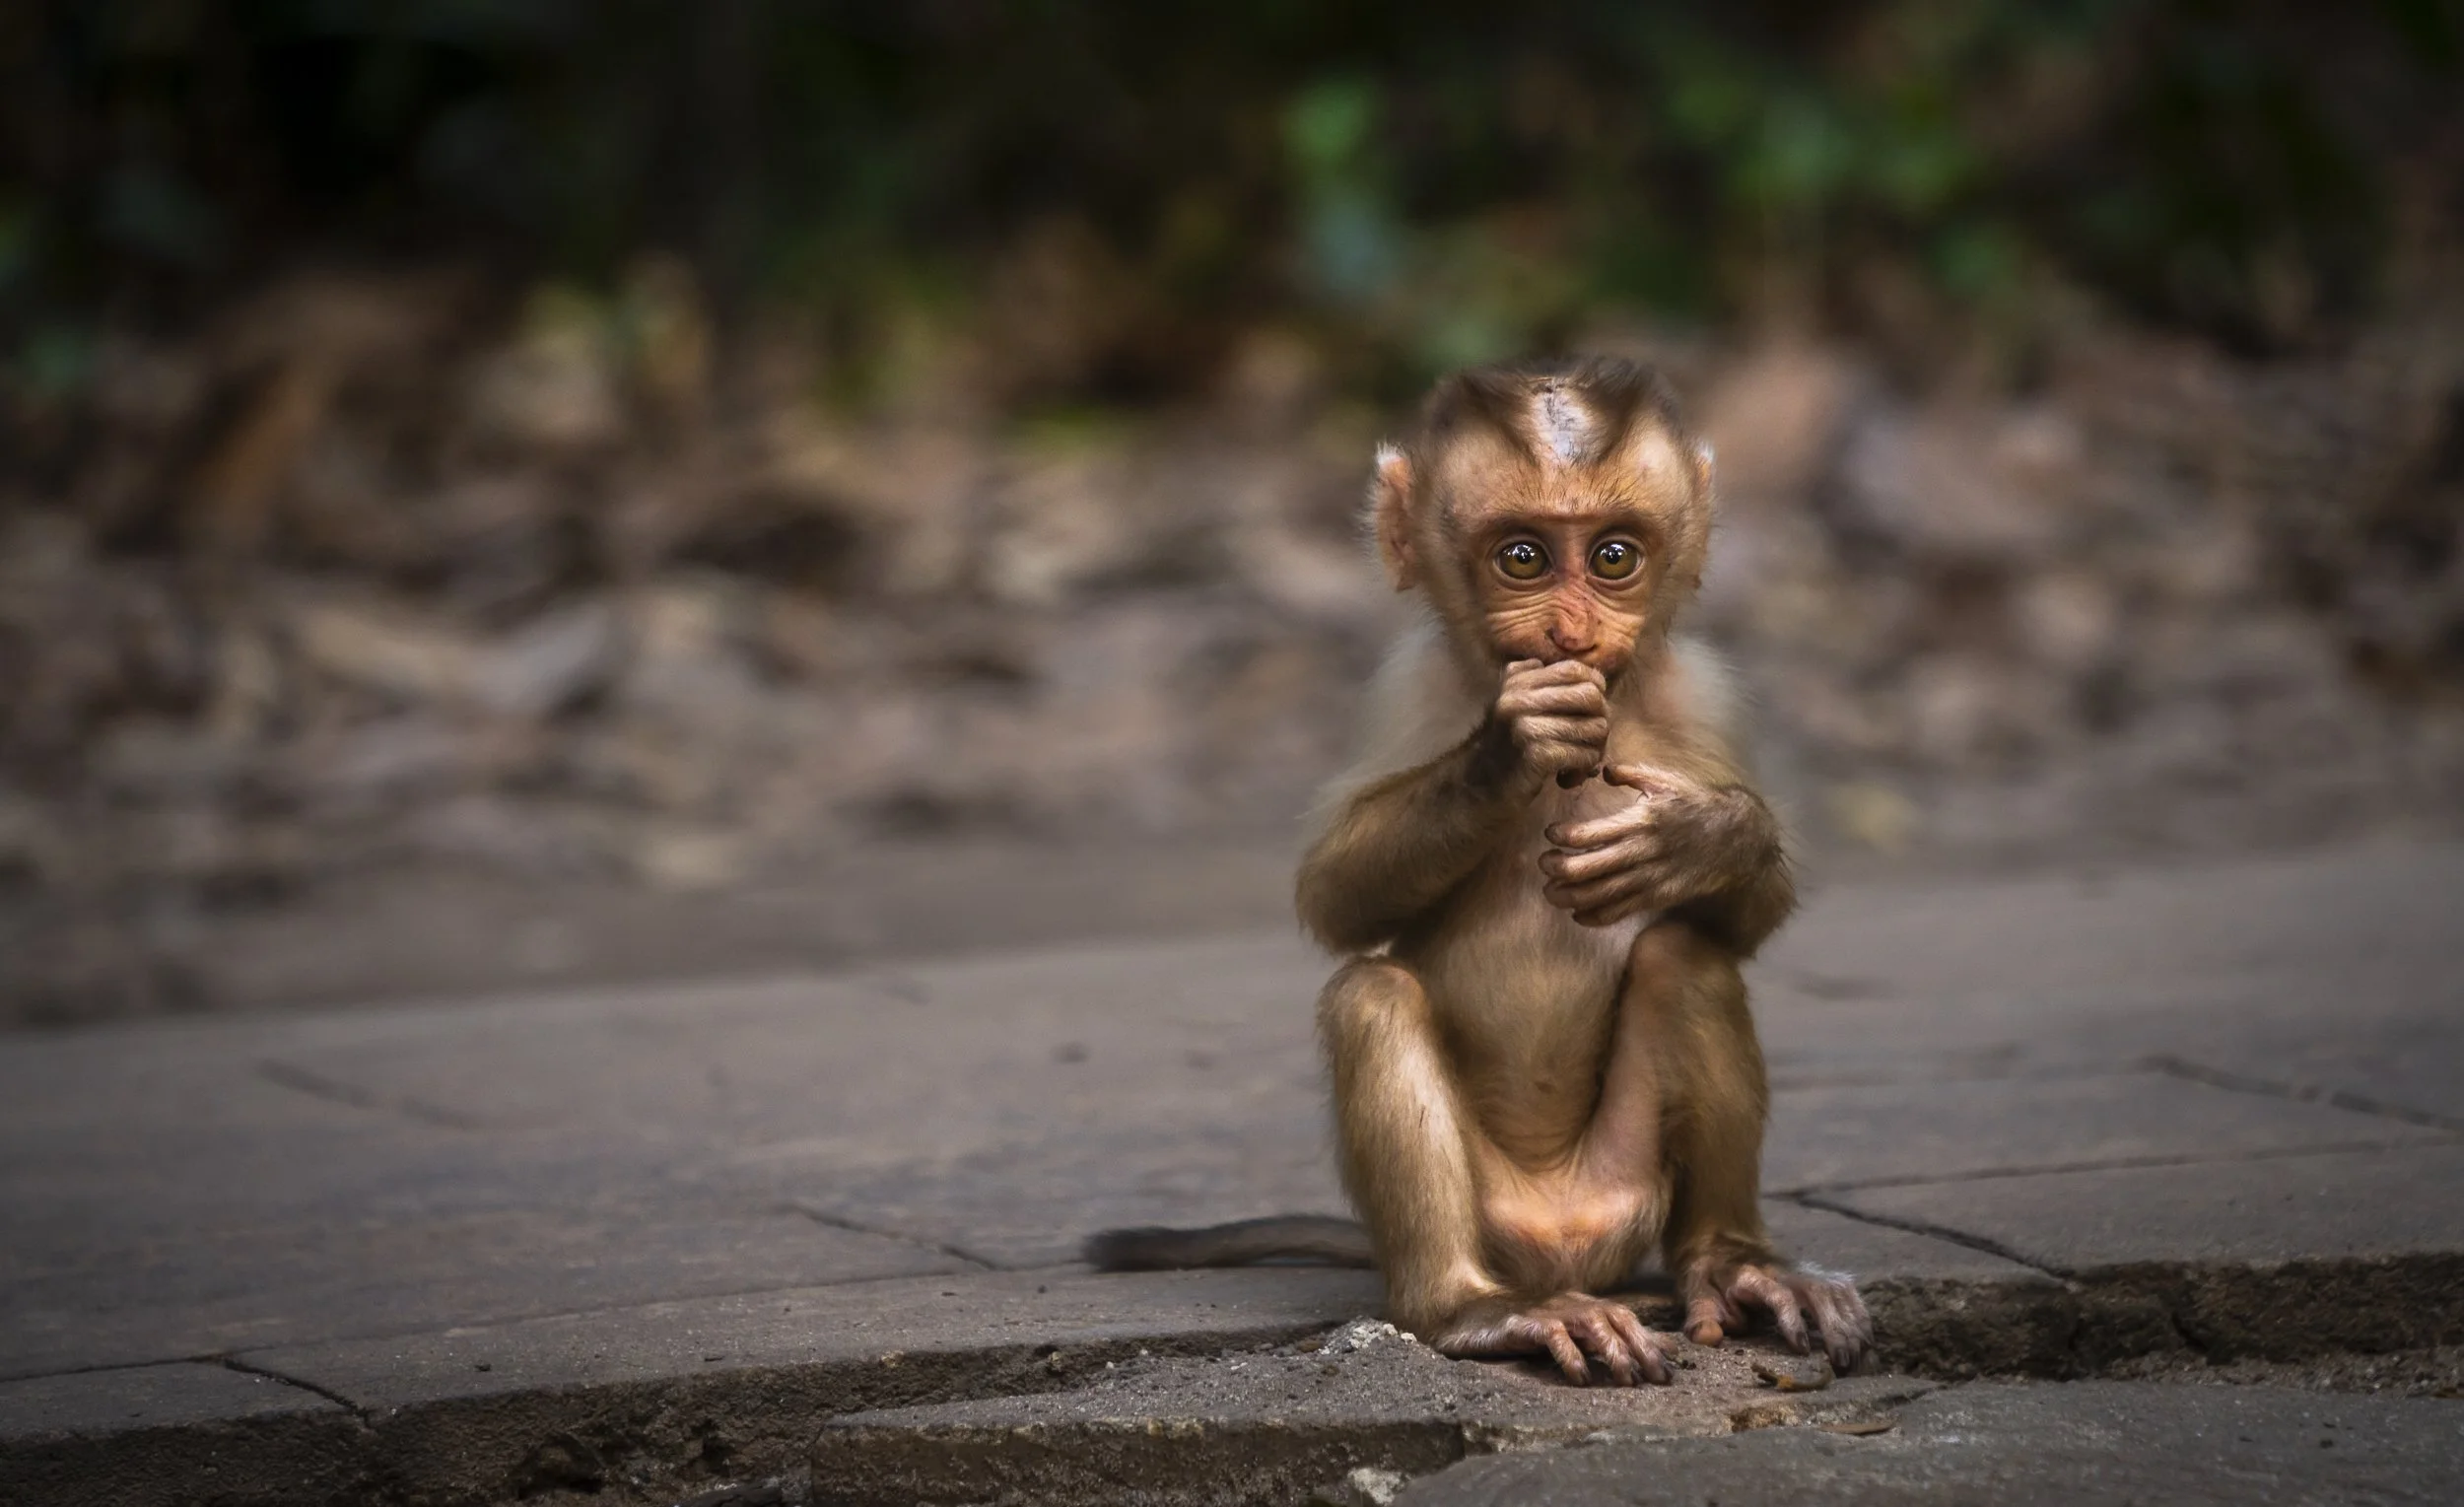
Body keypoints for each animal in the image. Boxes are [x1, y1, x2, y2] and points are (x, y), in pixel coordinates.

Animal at [1086, 358, 1869, 1386]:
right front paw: (1511, 748)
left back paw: (1735, 1263)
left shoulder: (1705, 689)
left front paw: (1698, 839)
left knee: (1688, 956)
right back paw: (1471, 1310)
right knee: (1371, 996)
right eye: (1524, 559)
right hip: (1493, 1220)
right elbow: (1333, 895)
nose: (1570, 635)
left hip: (1629, 1191)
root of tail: (1566, 1248)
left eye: (1613, 557)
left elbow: (1747, 918)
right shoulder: (1408, 682)